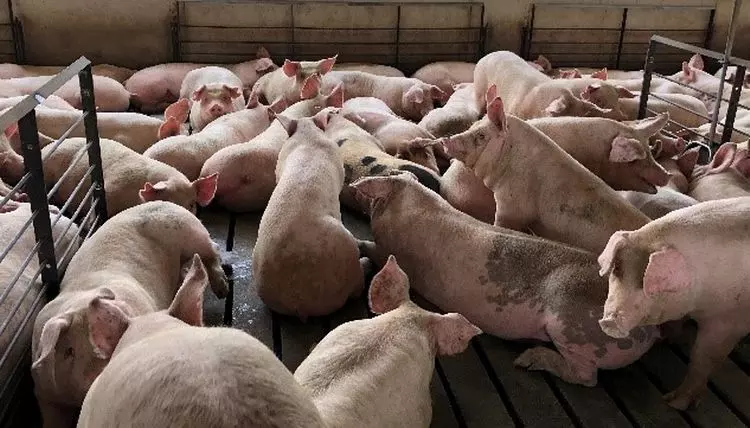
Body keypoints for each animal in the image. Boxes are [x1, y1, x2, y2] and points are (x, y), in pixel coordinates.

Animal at [32, 201, 228, 428]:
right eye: (69, 351)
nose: (99, 376)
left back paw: (223, 289)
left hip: (192, 232)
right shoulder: (45, 393)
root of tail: (160, 202)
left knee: (212, 250)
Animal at [351, 172, 658, 387]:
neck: (412, 202)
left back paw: (527, 360)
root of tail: (650, 327)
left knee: (587, 377)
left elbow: (370, 248)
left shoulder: (388, 249)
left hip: (571, 327)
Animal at [597, 196, 750, 409]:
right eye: (617, 268)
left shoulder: (728, 320)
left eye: (648, 283)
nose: (608, 322)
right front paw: (665, 339)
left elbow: (702, 358)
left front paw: (672, 402)